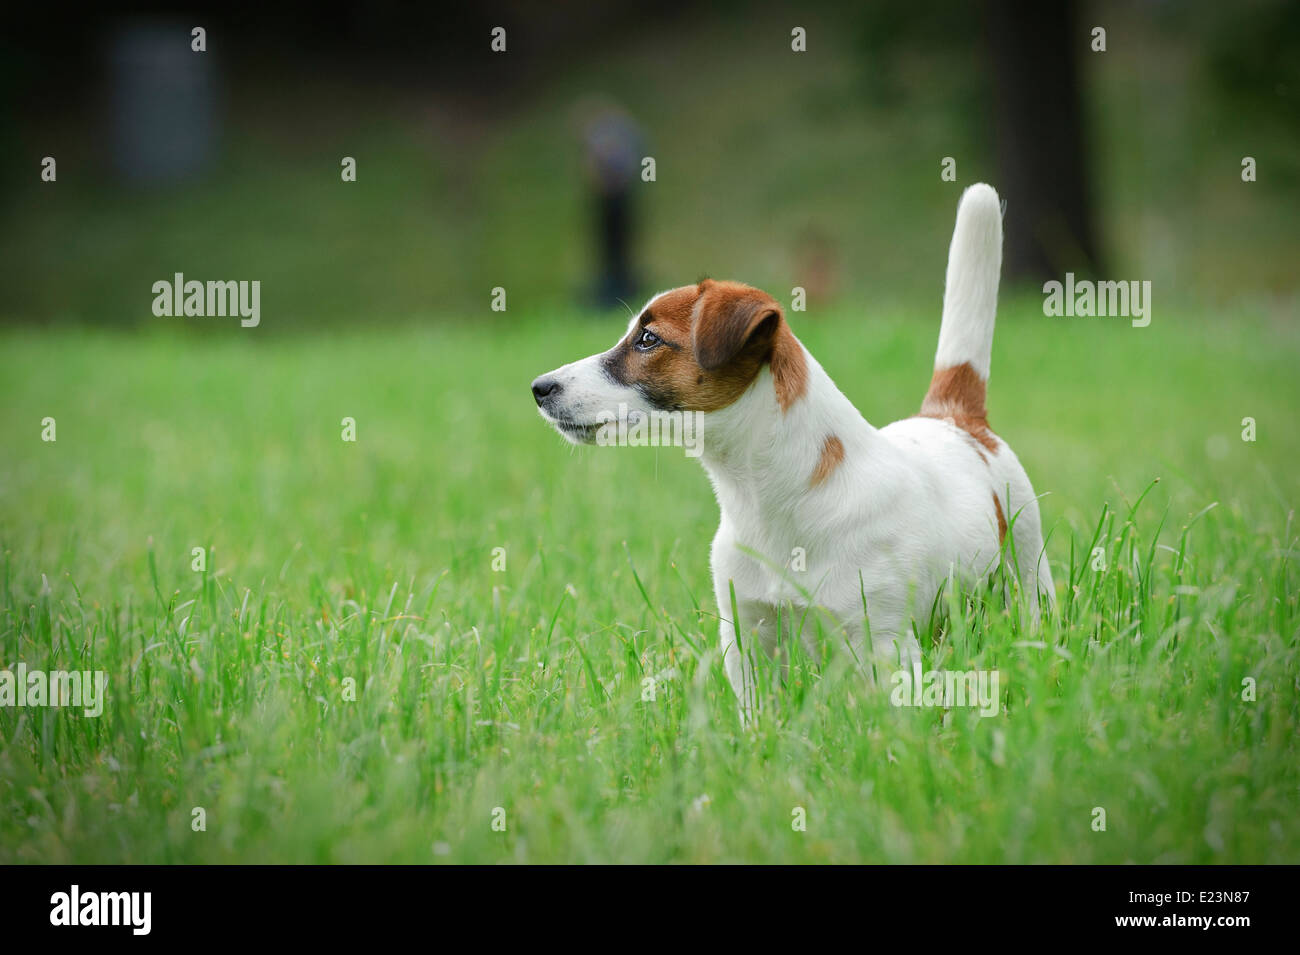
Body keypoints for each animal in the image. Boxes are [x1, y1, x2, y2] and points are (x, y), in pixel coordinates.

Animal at [533, 183, 1050, 712]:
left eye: (649, 339)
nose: (539, 387)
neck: (769, 503)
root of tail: (953, 417)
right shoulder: (746, 638)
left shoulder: (885, 645)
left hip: (1027, 577)